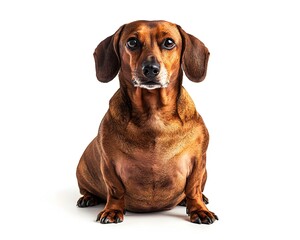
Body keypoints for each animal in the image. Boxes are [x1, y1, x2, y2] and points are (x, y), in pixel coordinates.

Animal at [76, 19, 218, 224]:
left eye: (169, 42)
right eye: (132, 42)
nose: (150, 69)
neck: (154, 114)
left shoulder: (198, 161)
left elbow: (193, 188)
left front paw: (199, 209)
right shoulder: (109, 163)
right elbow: (115, 189)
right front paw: (112, 210)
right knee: (87, 190)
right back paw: (88, 198)